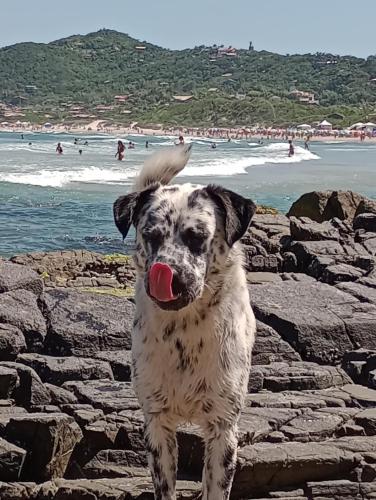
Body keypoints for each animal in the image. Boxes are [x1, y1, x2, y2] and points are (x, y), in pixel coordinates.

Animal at [113, 146, 258, 500]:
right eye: (150, 236)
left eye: (197, 237)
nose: (168, 274)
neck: (185, 332)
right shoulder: (156, 422)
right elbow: (164, 486)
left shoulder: (223, 426)